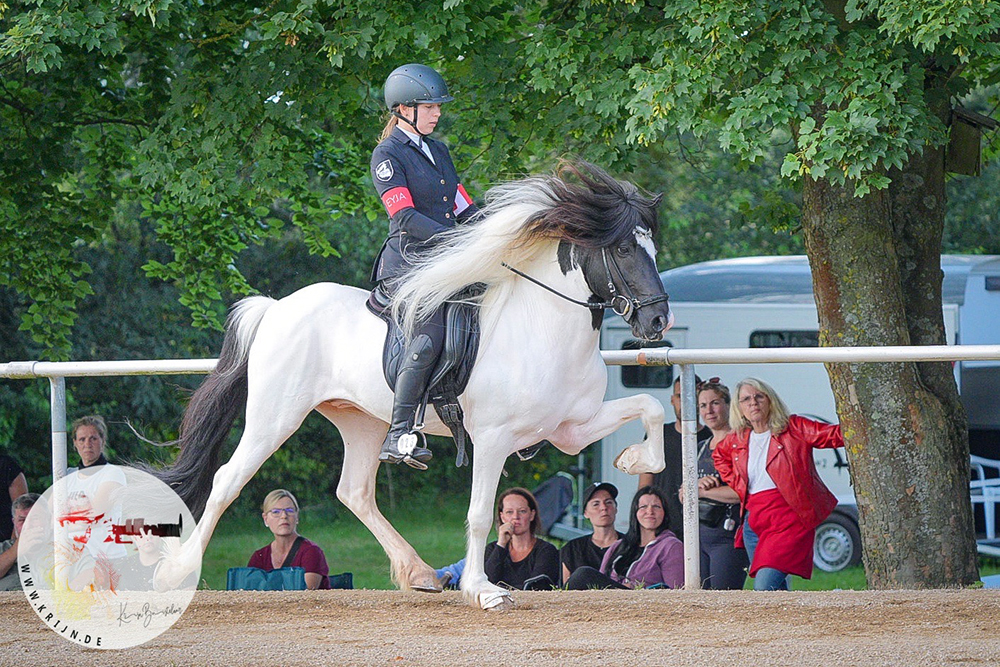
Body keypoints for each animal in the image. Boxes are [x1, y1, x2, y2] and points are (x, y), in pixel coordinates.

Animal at [152, 162, 672, 612]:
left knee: (355, 492)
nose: (657, 321)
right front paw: (484, 590)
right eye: (624, 250)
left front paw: (635, 460)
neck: (545, 326)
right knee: (228, 479)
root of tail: (277, 307)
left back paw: (419, 572)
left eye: (652, 249)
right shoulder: (494, 438)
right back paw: (175, 572)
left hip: (360, 420)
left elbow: (648, 405)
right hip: (275, 416)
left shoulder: (571, 429)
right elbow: (481, 513)